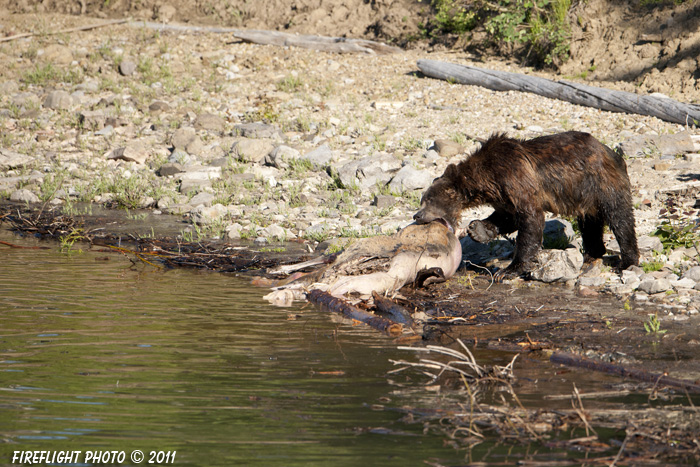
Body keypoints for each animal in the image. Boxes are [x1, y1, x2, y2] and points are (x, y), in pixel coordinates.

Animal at [413, 131, 639, 281]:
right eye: (422, 200)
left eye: (428, 199)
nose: (417, 215)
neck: (487, 180)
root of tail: (611, 152)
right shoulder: (503, 193)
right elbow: (508, 216)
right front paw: (478, 229)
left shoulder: (516, 177)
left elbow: (530, 218)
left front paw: (509, 269)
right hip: (585, 197)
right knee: (590, 224)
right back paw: (592, 254)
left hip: (602, 183)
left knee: (620, 218)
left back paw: (626, 261)